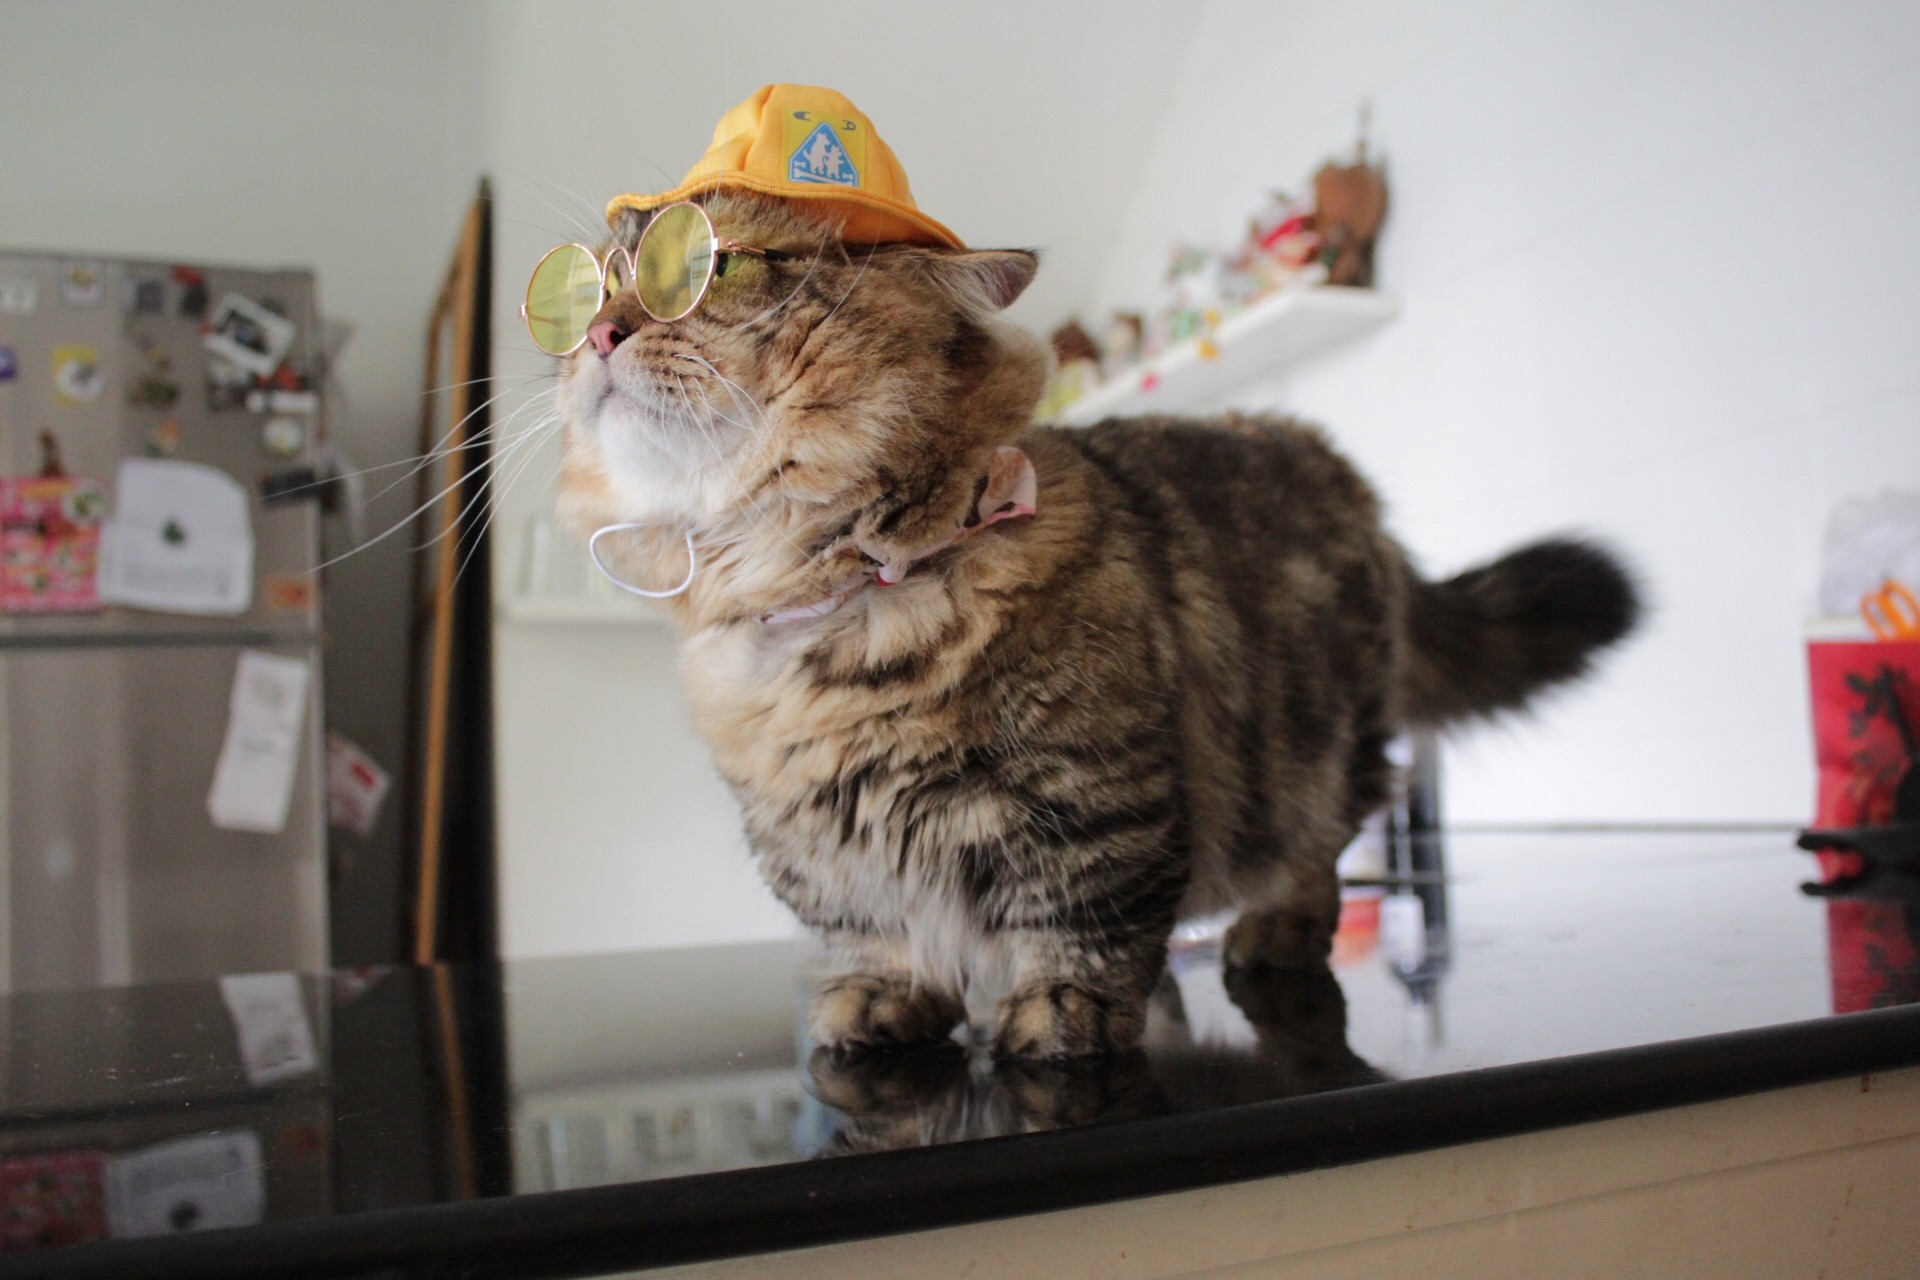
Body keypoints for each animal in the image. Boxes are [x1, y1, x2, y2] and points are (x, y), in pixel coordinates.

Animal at [554, 191, 1638, 1059]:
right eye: (587, 292)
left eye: (712, 266)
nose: (599, 335)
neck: (825, 600)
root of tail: (1339, 471)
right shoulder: (814, 843)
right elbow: (875, 933)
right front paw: (880, 1004)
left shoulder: (1086, 793)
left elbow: (1080, 918)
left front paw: (1058, 1015)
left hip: (1324, 751)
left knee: (1319, 850)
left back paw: (1270, 937)